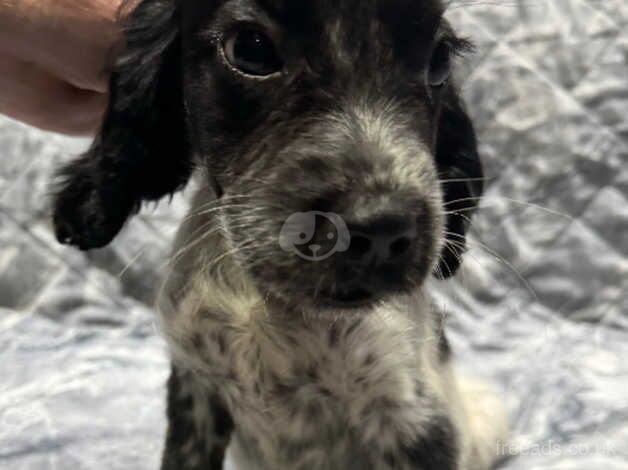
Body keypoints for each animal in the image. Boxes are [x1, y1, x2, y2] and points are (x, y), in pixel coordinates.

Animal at [52, 0, 510, 470]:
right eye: (250, 50)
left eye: (439, 61)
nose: (382, 229)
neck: (270, 304)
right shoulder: (195, 385)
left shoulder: (411, 417)